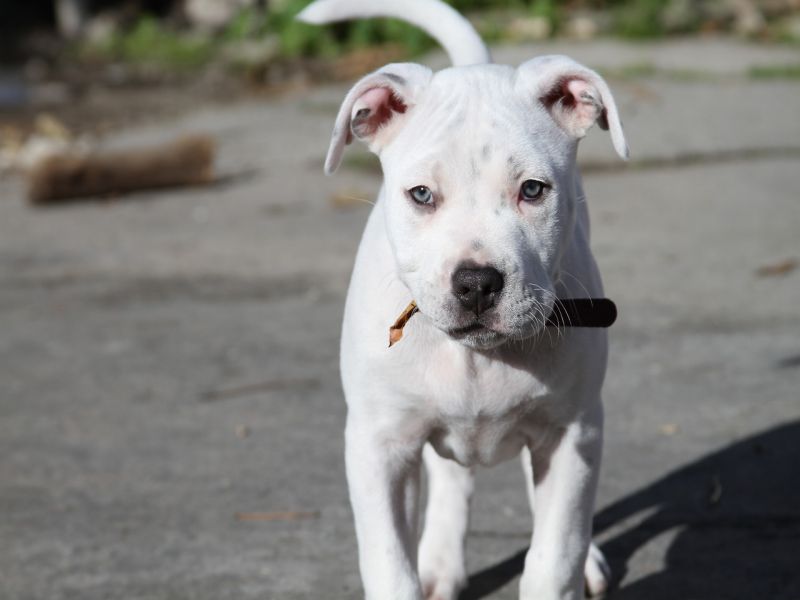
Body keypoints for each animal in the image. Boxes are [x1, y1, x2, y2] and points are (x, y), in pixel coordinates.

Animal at [296, 2, 628, 596]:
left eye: (533, 190)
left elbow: (553, 556)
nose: (476, 282)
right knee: (452, 476)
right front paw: (414, 571)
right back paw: (439, 564)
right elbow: (389, 566)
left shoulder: (571, 436)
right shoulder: (379, 446)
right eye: (422, 195)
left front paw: (568, 564)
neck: (478, 356)